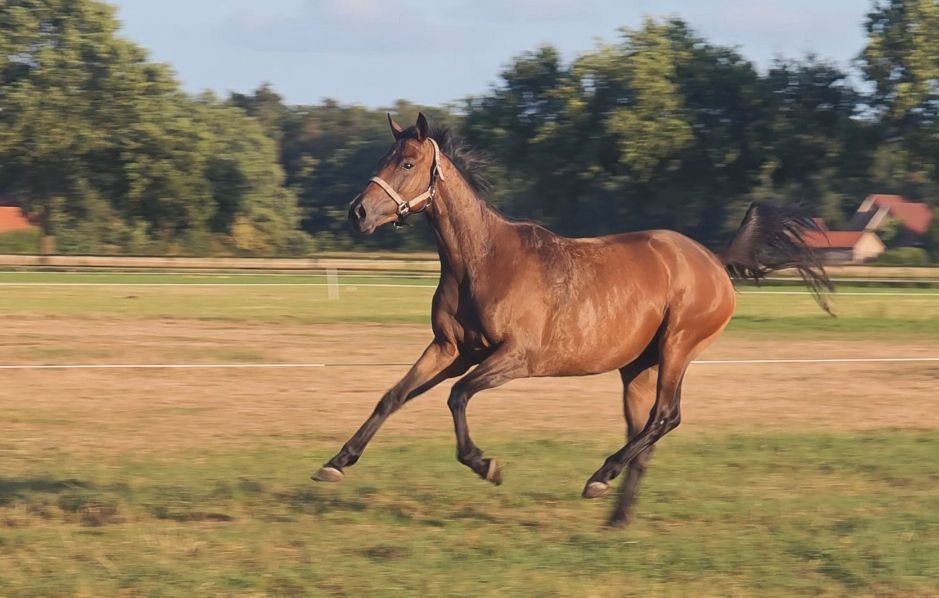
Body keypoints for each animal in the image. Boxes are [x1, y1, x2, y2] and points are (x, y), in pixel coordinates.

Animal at [313, 112, 832, 527]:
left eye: (406, 163)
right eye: (383, 156)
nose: (358, 212)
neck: (484, 260)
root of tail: (714, 261)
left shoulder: (516, 357)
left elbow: (457, 397)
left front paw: (486, 464)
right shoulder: (450, 349)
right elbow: (393, 396)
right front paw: (335, 463)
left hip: (677, 348)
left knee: (666, 417)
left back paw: (599, 479)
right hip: (637, 368)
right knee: (645, 431)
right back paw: (617, 518)